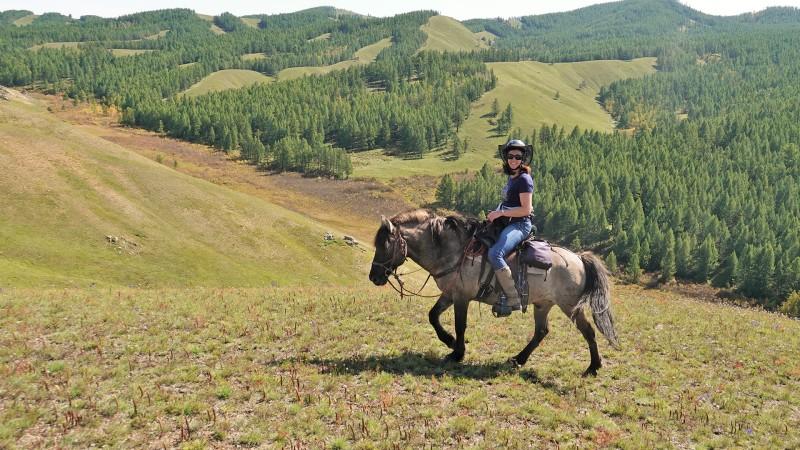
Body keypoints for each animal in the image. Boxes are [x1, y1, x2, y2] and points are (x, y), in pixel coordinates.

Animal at [368, 209, 619, 377]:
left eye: (384, 245)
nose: (374, 277)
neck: (452, 251)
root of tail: (579, 258)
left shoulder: (461, 297)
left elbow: (460, 325)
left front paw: (457, 353)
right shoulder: (450, 294)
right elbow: (432, 316)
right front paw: (449, 342)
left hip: (569, 306)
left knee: (588, 331)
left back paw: (593, 367)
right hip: (543, 304)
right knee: (541, 331)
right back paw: (518, 359)